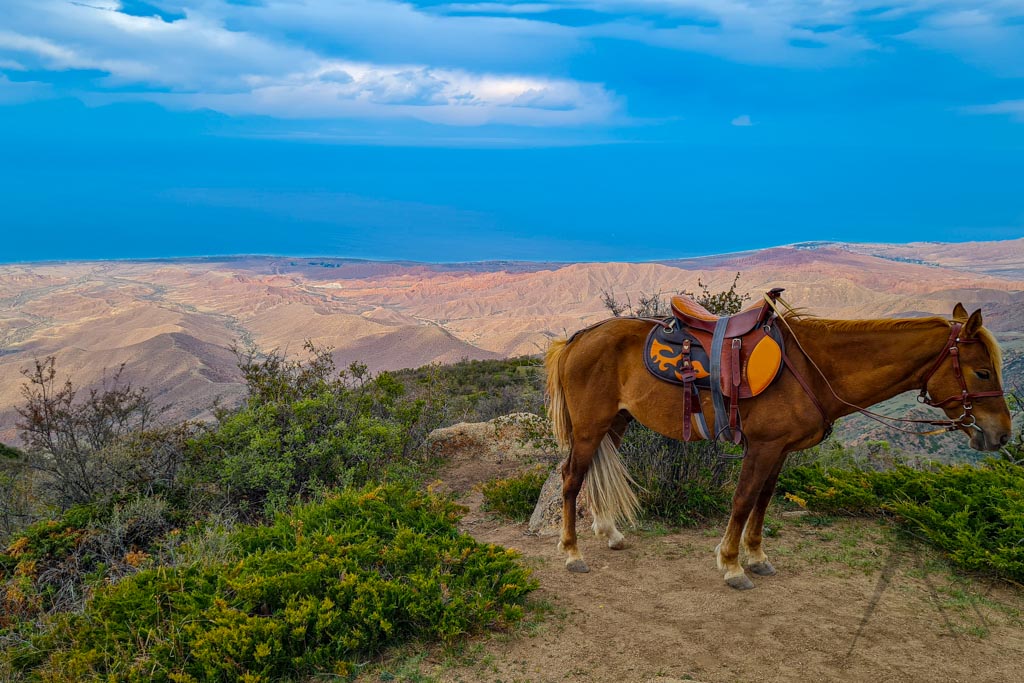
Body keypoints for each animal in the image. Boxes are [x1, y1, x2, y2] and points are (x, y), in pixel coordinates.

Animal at [544, 300, 1011, 590]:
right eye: (983, 371)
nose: (1002, 434)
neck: (813, 368)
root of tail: (577, 338)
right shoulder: (762, 447)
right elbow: (743, 500)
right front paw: (732, 564)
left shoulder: (780, 450)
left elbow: (764, 501)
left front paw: (755, 556)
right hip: (589, 427)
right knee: (571, 479)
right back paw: (572, 552)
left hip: (614, 424)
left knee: (594, 476)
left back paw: (610, 533)